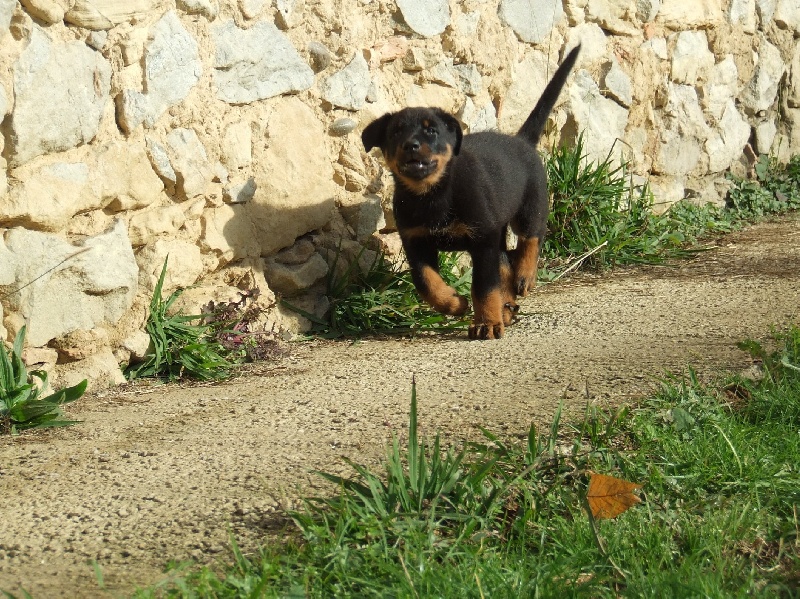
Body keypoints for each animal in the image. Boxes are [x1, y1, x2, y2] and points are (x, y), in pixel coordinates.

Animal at [362, 44, 580, 340]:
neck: (434, 195)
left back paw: (525, 276)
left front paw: (486, 323)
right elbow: (425, 282)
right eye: (395, 133)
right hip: (498, 230)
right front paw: (454, 303)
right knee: (505, 263)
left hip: (530, 205)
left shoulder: (482, 239)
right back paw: (507, 309)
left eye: (432, 131)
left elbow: (484, 286)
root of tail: (521, 141)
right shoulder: (415, 242)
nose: (411, 145)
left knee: (530, 237)